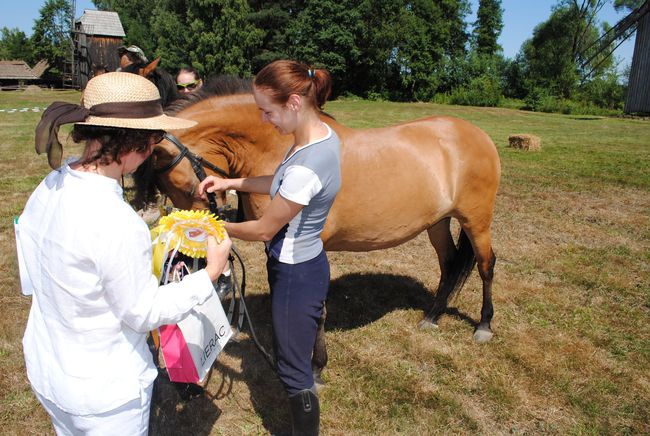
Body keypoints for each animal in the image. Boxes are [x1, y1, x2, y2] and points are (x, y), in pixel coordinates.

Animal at [139, 76, 498, 384]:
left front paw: (315, 367)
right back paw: (432, 316)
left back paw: (483, 325)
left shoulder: (309, 246)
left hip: (476, 220)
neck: (282, 148)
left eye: (183, 188)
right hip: (437, 222)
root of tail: (477, 135)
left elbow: (315, 307)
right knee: (449, 264)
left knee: (485, 264)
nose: (190, 258)